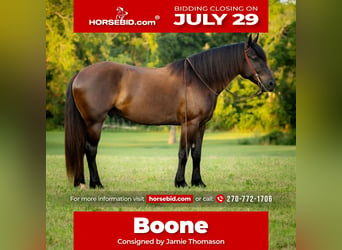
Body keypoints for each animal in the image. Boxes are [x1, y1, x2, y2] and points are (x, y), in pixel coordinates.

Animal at [64, 34, 276, 188]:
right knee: (90, 150)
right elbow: (183, 153)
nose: (271, 83)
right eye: (254, 57)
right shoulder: (189, 124)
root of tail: (80, 74)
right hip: (94, 123)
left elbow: (196, 153)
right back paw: (96, 183)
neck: (199, 79)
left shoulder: (201, 125)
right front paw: (180, 182)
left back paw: (82, 182)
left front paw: (198, 182)